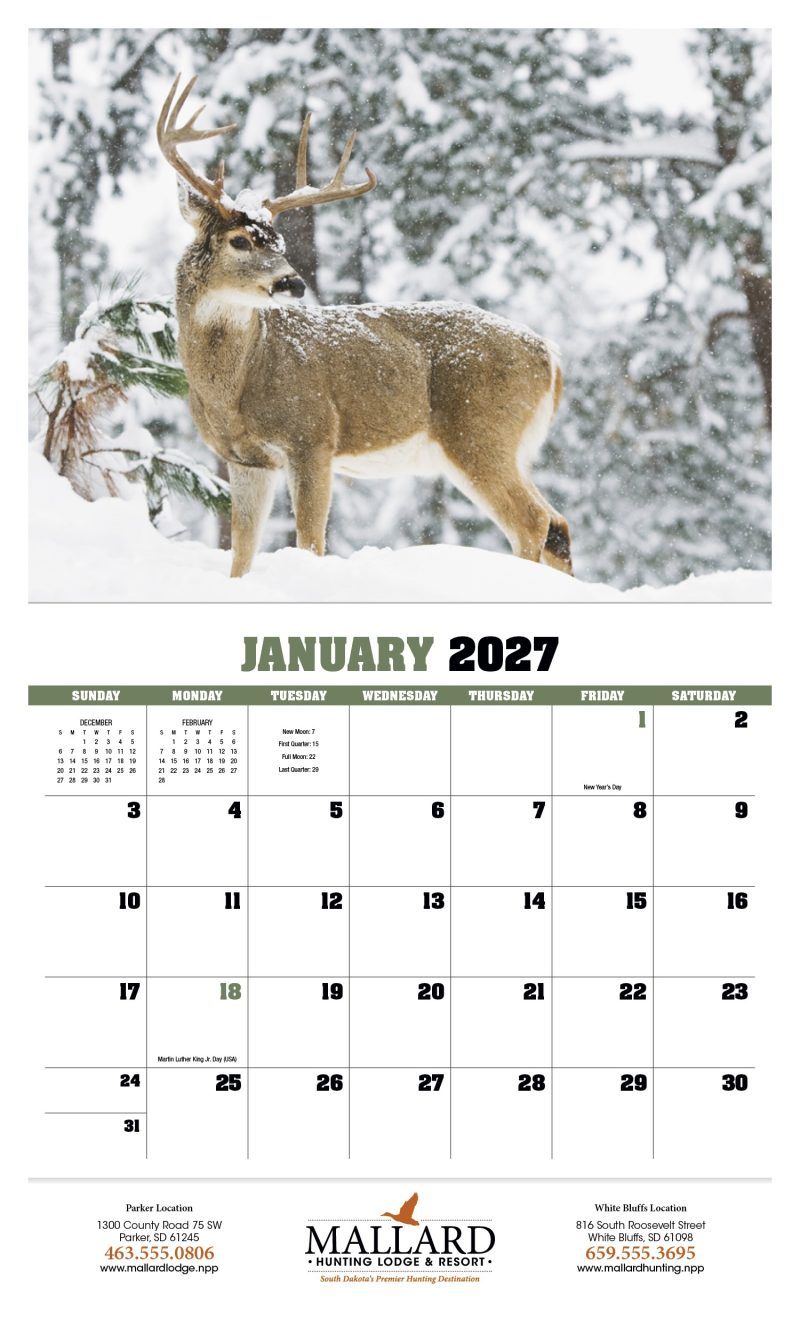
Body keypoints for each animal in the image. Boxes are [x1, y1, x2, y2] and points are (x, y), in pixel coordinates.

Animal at [156, 76, 572, 578]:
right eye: (239, 240)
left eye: (279, 241)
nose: (294, 282)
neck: (233, 387)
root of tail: (549, 354)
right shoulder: (245, 458)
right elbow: (241, 554)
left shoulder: (313, 436)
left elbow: (310, 541)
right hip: (509, 445)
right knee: (558, 525)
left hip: (481, 429)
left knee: (533, 522)